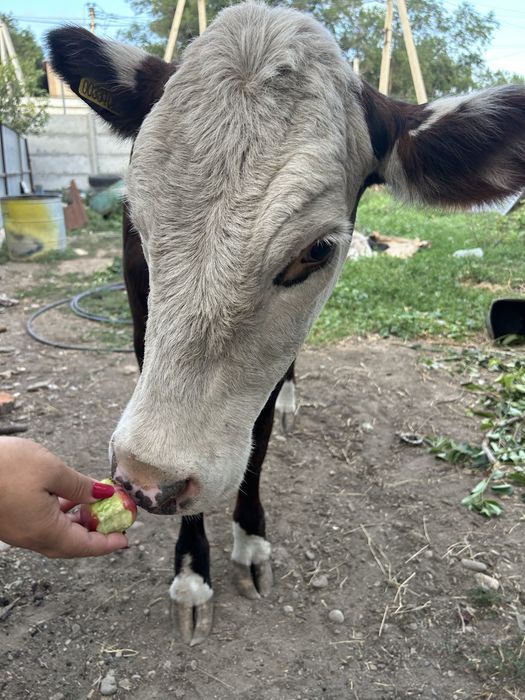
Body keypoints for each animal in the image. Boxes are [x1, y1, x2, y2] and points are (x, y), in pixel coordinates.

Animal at [48, 2, 525, 645]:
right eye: (136, 222)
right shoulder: (142, 327)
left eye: (316, 251)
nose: (145, 477)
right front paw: (192, 576)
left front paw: (250, 543)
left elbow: (261, 438)